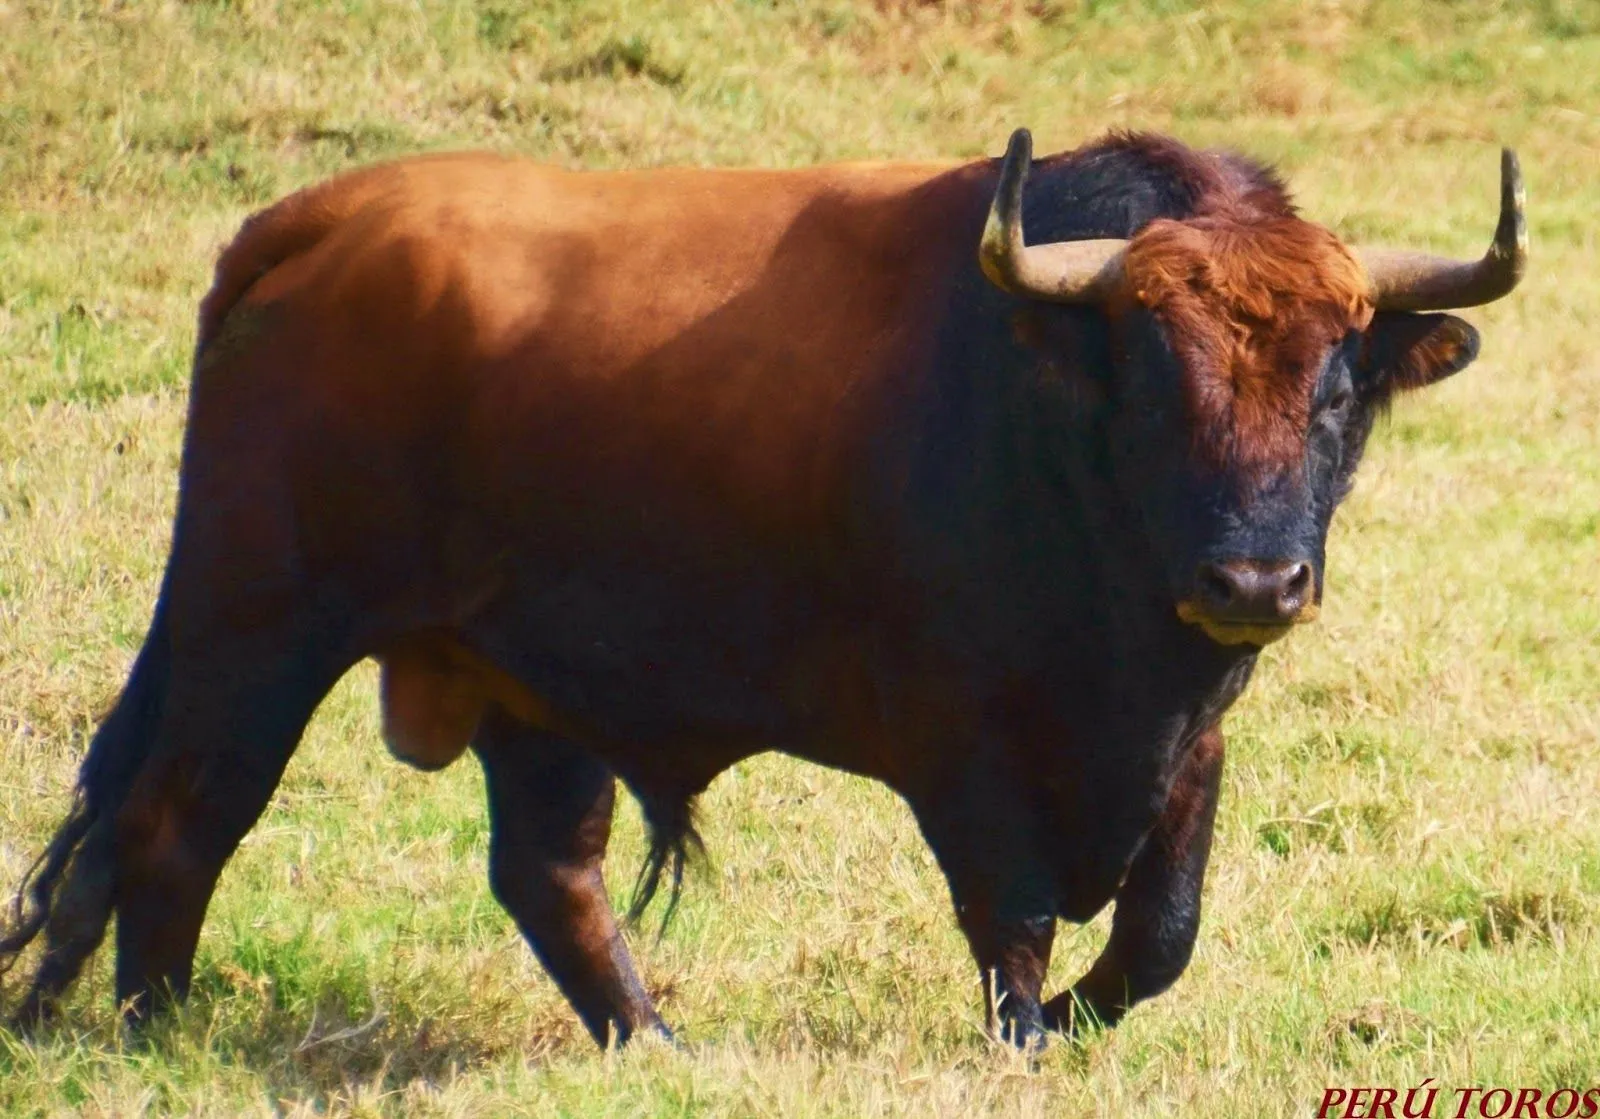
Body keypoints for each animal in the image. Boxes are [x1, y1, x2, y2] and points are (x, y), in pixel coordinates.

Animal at [3, 128, 1523, 1050]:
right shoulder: (961, 743)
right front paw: (1029, 1039)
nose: (1255, 577)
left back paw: (657, 1046)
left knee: (547, 872)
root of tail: (320, 220)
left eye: (1338, 386)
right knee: (177, 824)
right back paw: (159, 1025)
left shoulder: (1190, 733)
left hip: (525, 686)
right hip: (252, 630)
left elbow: (1159, 931)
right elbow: (1017, 927)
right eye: (1152, 381)